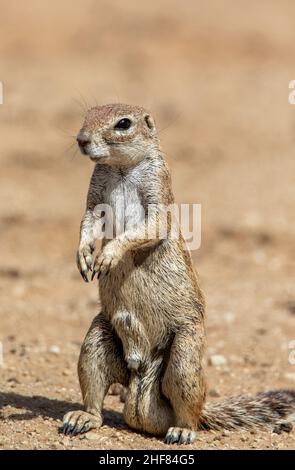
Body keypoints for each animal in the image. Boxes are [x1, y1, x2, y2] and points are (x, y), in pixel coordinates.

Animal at [61, 103, 294, 444]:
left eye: (123, 123)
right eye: (87, 114)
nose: (81, 139)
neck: (120, 168)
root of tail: (141, 374)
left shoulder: (159, 188)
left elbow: (150, 226)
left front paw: (108, 254)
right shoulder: (94, 196)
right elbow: (88, 220)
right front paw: (83, 255)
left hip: (185, 354)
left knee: (189, 408)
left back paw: (182, 430)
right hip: (96, 338)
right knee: (95, 392)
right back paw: (81, 418)